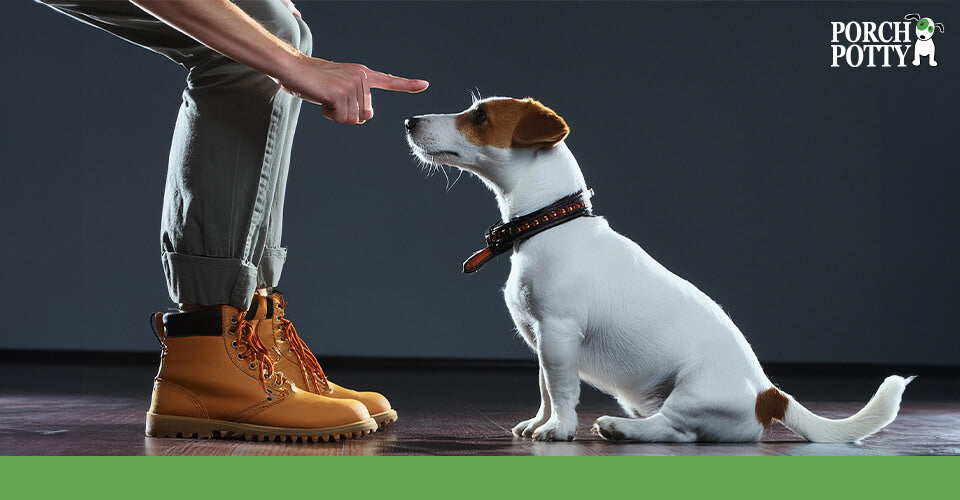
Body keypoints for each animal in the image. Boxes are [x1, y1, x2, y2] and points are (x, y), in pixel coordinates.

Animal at [402, 96, 912, 442]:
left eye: (480, 117)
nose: (409, 120)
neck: (550, 221)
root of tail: (769, 395)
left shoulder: (559, 333)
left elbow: (562, 389)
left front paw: (559, 429)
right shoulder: (541, 339)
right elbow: (546, 388)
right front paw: (540, 422)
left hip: (692, 392)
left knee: (675, 430)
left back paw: (620, 428)